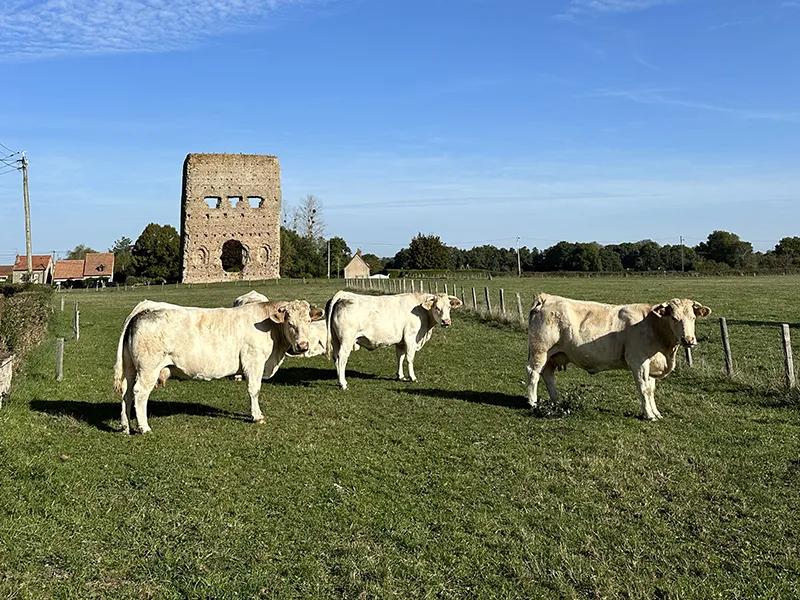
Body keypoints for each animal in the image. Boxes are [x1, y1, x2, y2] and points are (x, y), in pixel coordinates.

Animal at [113, 298, 324, 432]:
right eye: (289, 322)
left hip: (131, 368)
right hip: (148, 369)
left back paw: (126, 425)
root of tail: (145, 310)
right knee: (139, 393)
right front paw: (257, 416)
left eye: (308, 320)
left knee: (127, 392)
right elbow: (254, 389)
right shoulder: (254, 360)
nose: (303, 345)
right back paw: (144, 427)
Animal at [324, 290, 462, 390]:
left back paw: (339, 380)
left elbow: (400, 357)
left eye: (449, 307)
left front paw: (400, 376)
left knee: (336, 357)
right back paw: (343, 383)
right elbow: (409, 358)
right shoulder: (411, 337)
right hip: (346, 339)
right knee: (342, 357)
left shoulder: (401, 342)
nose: (446, 321)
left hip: (336, 340)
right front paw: (413, 377)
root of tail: (344, 294)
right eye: (437, 307)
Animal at [524, 292, 712, 420]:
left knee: (548, 376)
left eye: (693, 318)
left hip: (552, 355)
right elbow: (643, 389)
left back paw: (556, 401)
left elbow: (650, 390)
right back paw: (533, 402)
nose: (688, 339)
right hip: (540, 350)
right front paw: (649, 415)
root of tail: (545, 298)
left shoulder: (650, 365)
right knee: (533, 373)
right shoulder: (638, 362)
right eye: (674, 317)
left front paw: (656, 412)